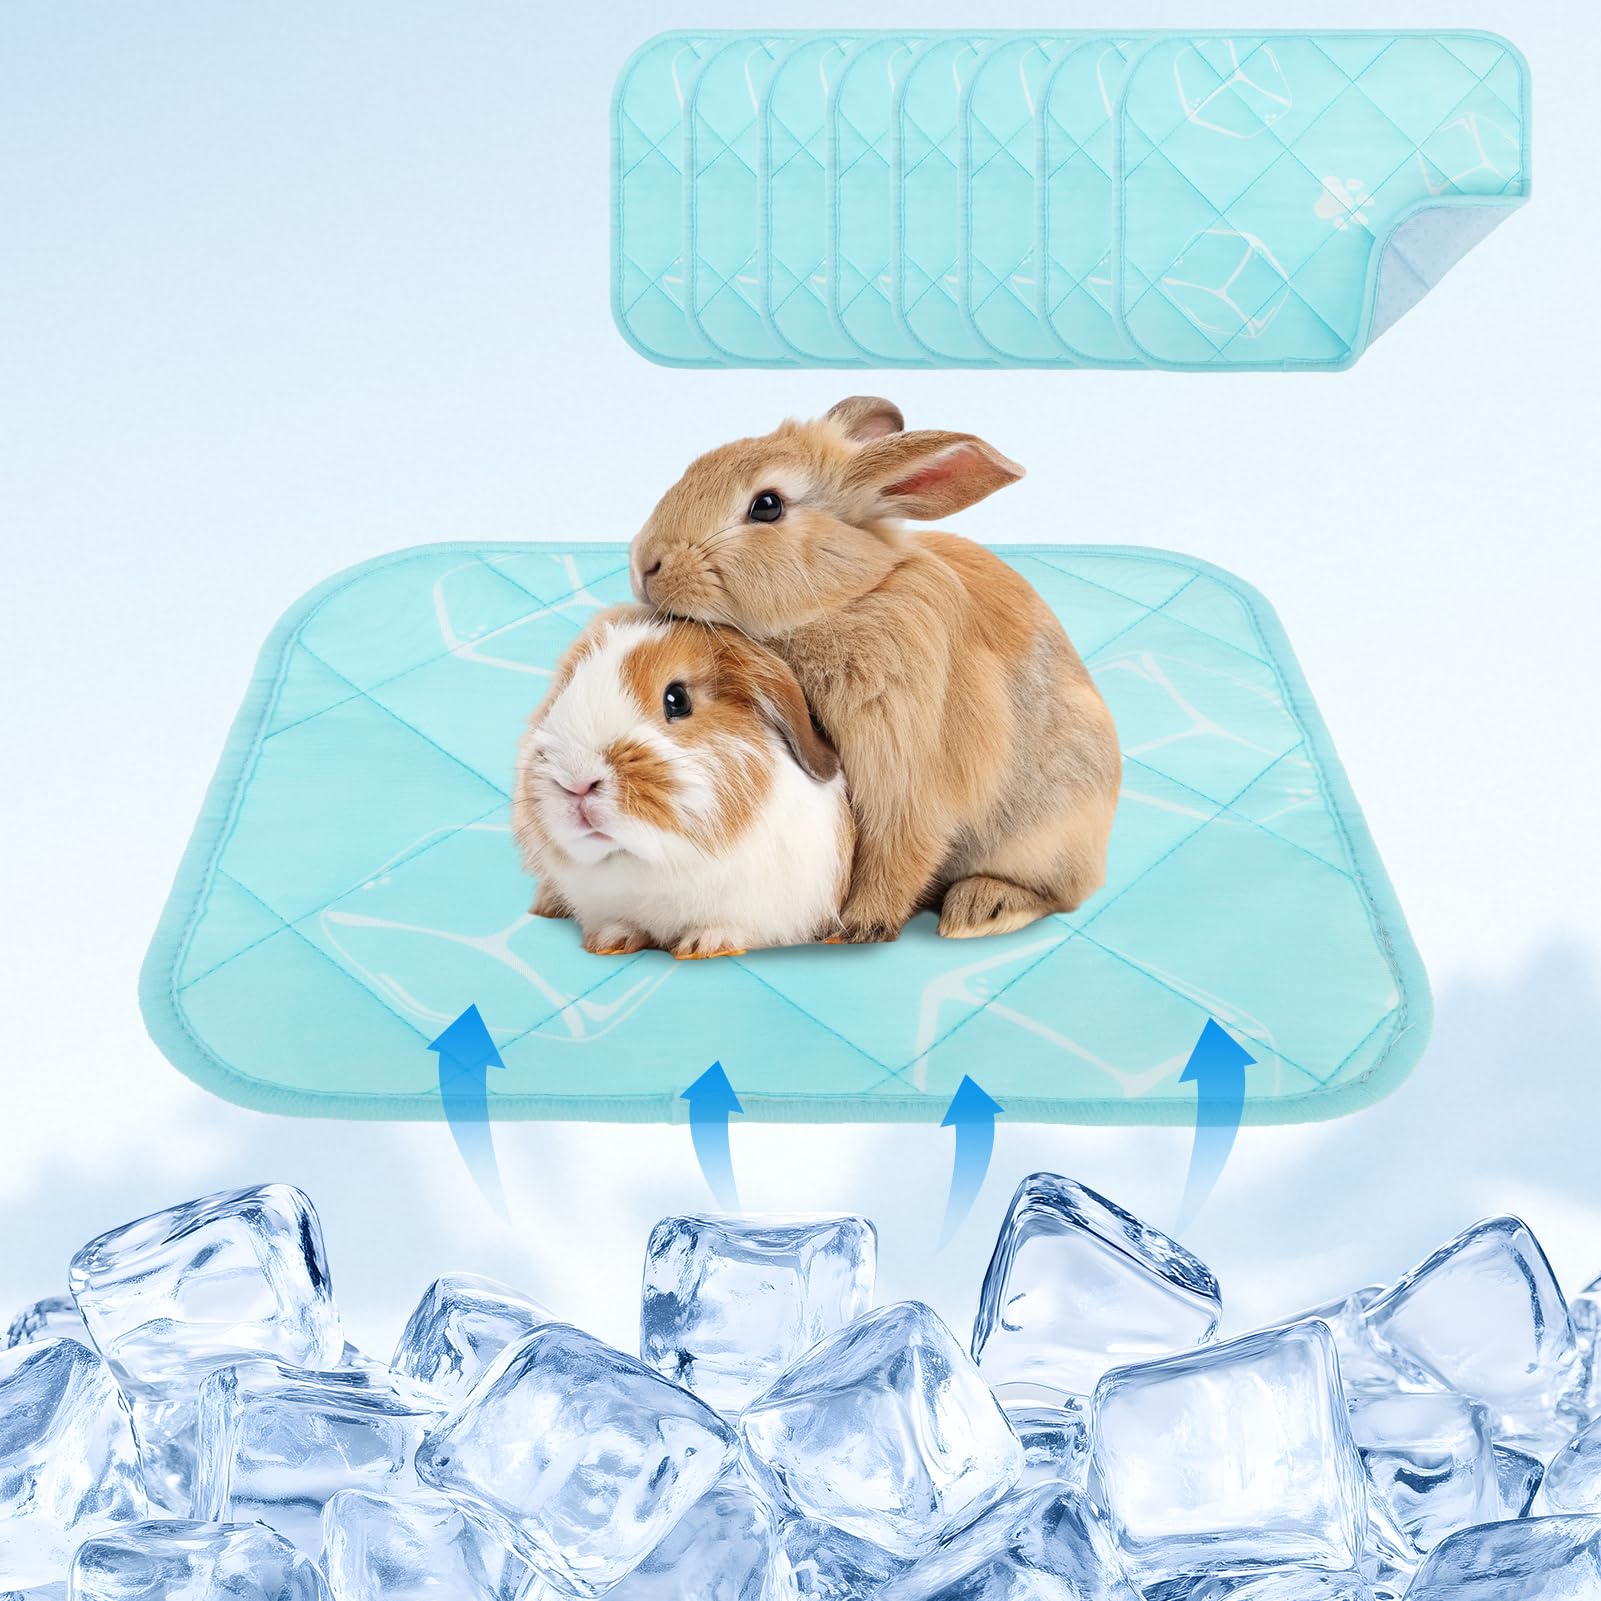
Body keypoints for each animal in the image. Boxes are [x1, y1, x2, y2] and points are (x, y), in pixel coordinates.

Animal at [629, 395, 1121, 944]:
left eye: (767, 505)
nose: (644, 563)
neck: (845, 600)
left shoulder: (905, 777)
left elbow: (897, 853)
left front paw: (855, 927)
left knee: (1056, 894)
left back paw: (980, 909)